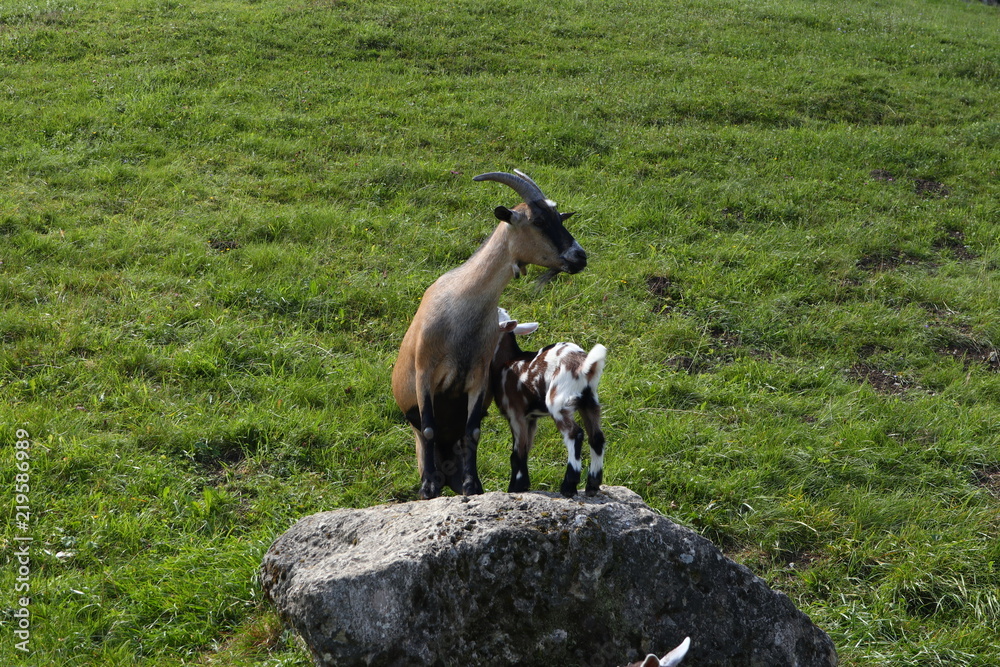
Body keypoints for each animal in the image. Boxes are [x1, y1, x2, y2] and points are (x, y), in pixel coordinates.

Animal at [386, 170, 584, 498]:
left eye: (560, 218)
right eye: (539, 221)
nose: (580, 256)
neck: (461, 304)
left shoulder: (477, 376)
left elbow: (473, 430)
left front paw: (472, 485)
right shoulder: (424, 371)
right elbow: (428, 427)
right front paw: (428, 487)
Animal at [490, 308, 604, 496]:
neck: (507, 361)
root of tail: (584, 366)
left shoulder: (516, 413)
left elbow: (517, 453)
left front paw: (515, 488)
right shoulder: (531, 418)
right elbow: (525, 449)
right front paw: (523, 486)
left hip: (559, 401)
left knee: (575, 434)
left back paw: (568, 487)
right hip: (590, 402)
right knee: (597, 437)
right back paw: (592, 486)